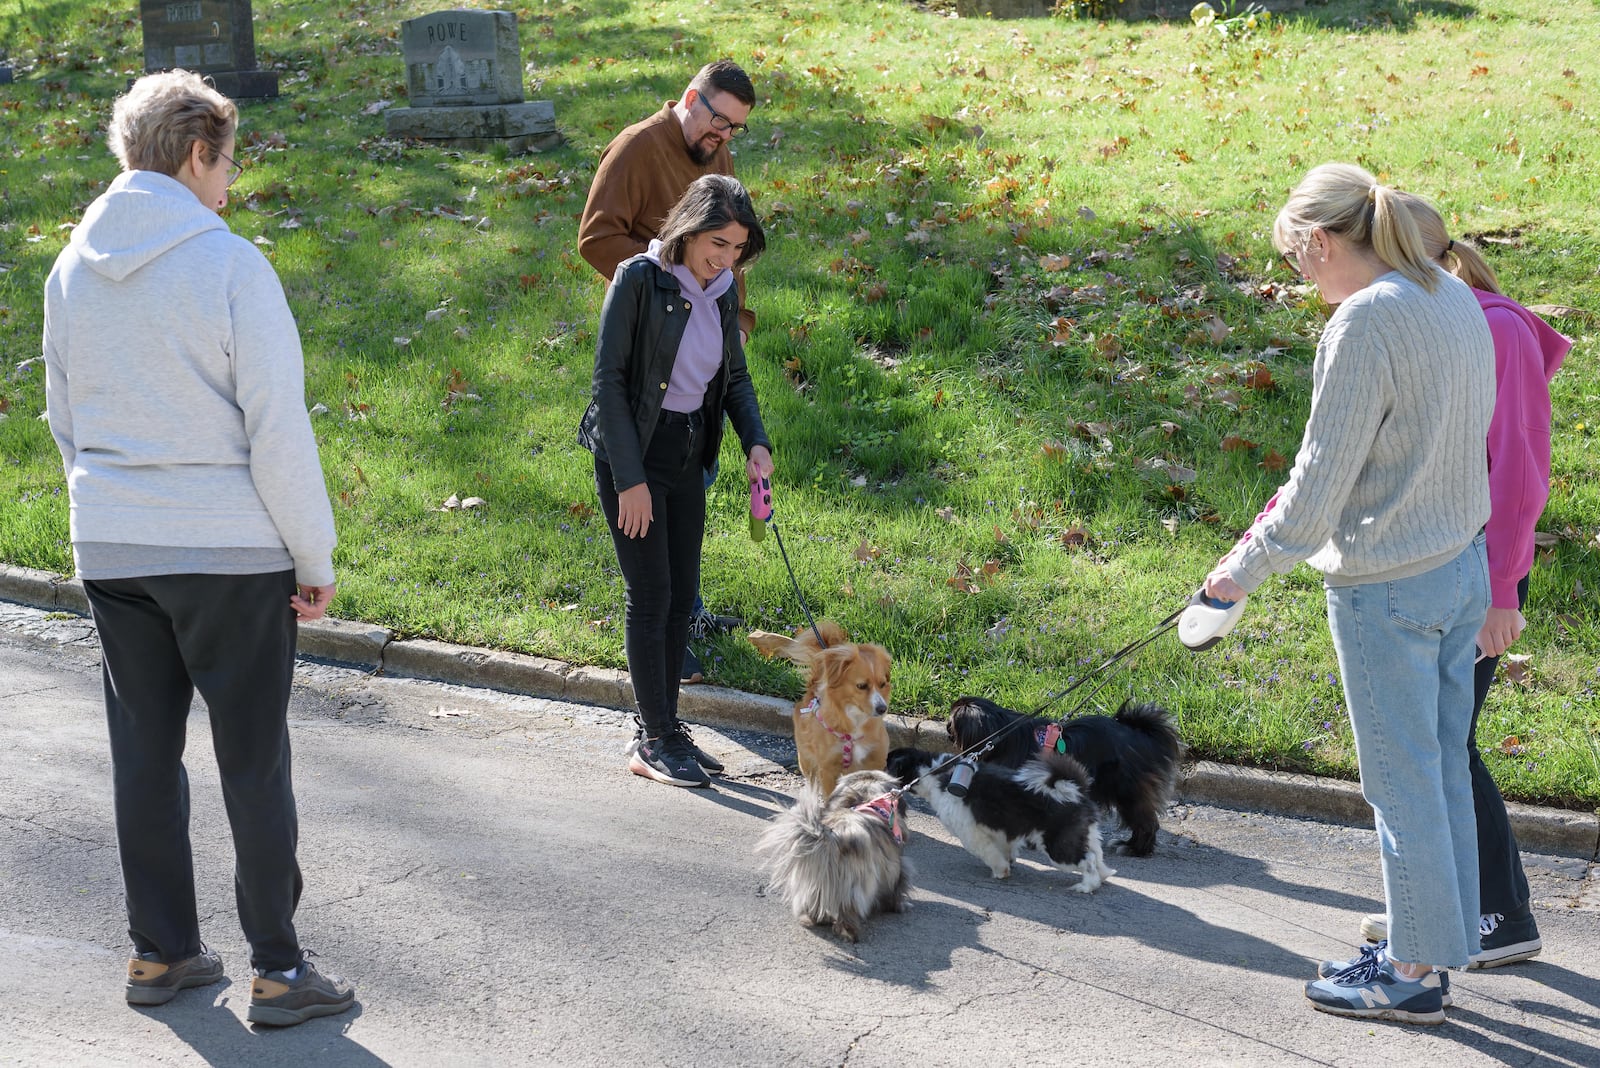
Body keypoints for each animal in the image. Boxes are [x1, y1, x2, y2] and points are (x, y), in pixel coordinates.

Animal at [745, 617, 889, 793]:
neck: (855, 723)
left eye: (883, 684)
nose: (882, 709)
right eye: (861, 686)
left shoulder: (876, 762)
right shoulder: (828, 768)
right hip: (807, 762)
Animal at [758, 767, 921, 940]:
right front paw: (900, 905)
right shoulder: (898, 867)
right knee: (848, 910)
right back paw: (848, 931)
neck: (866, 798)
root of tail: (833, 835)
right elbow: (897, 889)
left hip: (816, 879)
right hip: (854, 884)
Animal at [940, 697, 1184, 856]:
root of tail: (1142, 734)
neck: (1002, 735)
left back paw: (1135, 849)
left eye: (951, 722)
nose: (946, 730)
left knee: (1146, 822)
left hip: (1128, 792)